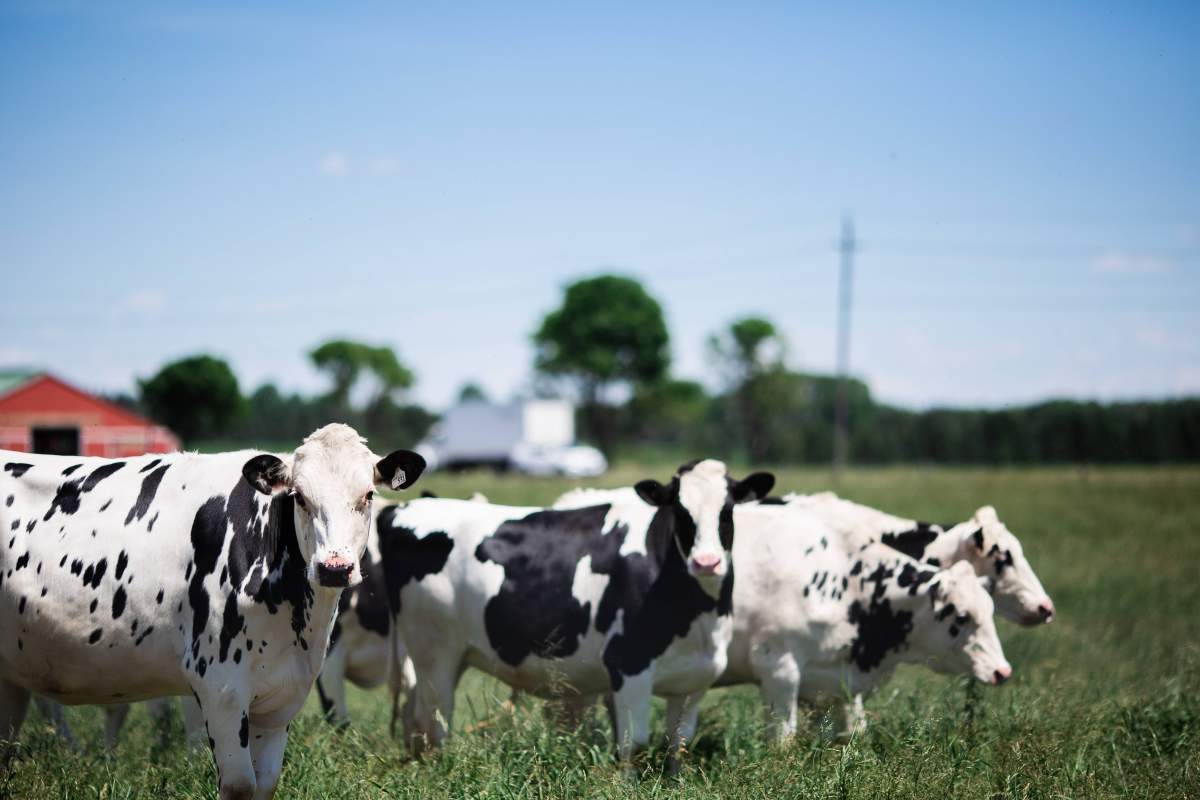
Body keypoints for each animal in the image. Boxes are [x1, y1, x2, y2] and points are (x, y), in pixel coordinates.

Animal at [0, 424, 424, 800]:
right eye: (300, 497)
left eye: (367, 495)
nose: (334, 568)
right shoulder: (221, 688)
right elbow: (240, 786)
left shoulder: (282, 697)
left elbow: (265, 785)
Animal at [377, 459, 774, 770]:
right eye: (679, 511)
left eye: (727, 510)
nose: (706, 562)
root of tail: (405, 508)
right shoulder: (628, 667)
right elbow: (633, 746)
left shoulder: (695, 679)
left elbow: (678, 747)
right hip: (435, 652)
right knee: (436, 721)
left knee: (415, 715)